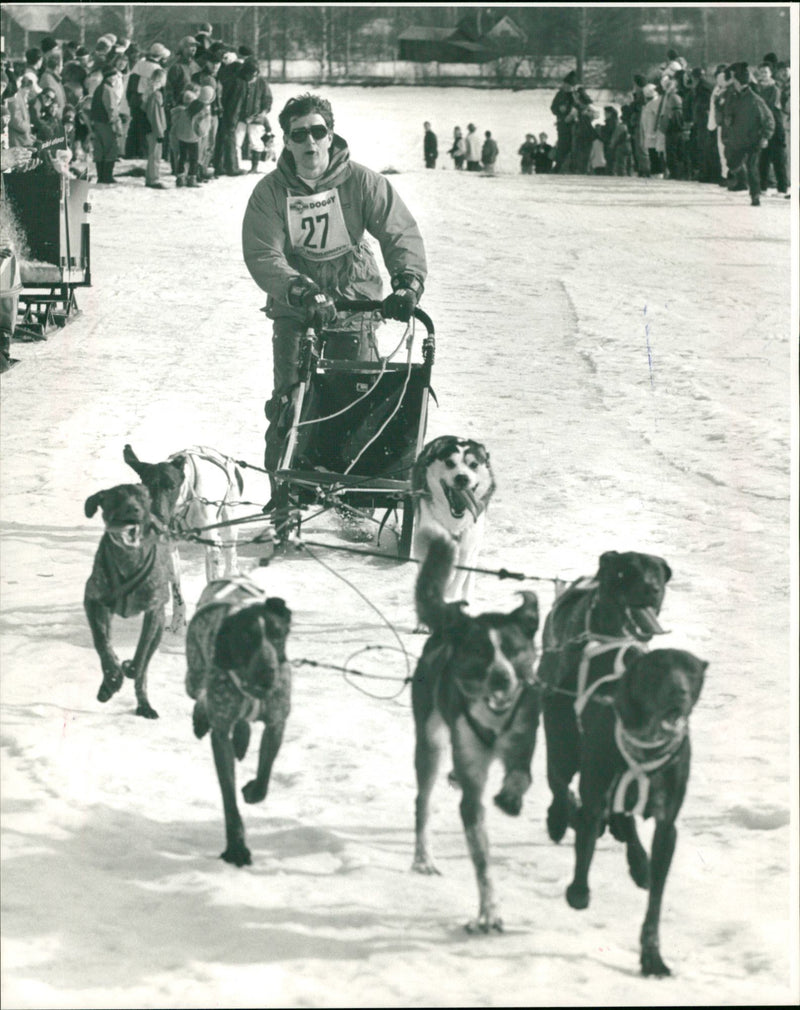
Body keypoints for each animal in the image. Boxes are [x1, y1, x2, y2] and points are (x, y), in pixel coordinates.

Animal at [83, 482, 170, 715]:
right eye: (117, 497)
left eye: (142, 497)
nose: (134, 509)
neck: (128, 558)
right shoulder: (93, 601)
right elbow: (102, 643)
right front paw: (113, 677)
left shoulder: (154, 611)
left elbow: (141, 654)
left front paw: (129, 667)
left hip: (160, 626)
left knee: (144, 668)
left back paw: (144, 704)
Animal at [185, 581, 292, 864]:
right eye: (246, 637)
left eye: (277, 636)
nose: (268, 672)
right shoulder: (220, 734)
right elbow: (229, 799)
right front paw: (236, 847)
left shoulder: (277, 722)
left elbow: (264, 776)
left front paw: (252, 791)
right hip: (194, 674)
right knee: (200, 693)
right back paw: (202, 718)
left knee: (242, 724)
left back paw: (242, 740)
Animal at [412, 533, 537, 933]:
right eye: (481, 651)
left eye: (514, 651)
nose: (501, 678)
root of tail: (451, 623)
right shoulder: (472, 788)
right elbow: (482, 861)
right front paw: (489, 913)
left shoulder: (521, 743)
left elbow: (520, 776)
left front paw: (510, 798)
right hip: (430, 744)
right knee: (422, 802)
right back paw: (423, 858)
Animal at [561, 646, 707, 977]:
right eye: (657, 668)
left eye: (691, 671)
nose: (679, 691)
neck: (647, 744)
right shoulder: (596, 799)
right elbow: (586, 844)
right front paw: (578, 890)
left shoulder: (667, 827)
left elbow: (655, 900)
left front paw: (652, 955)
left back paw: (639, 863)